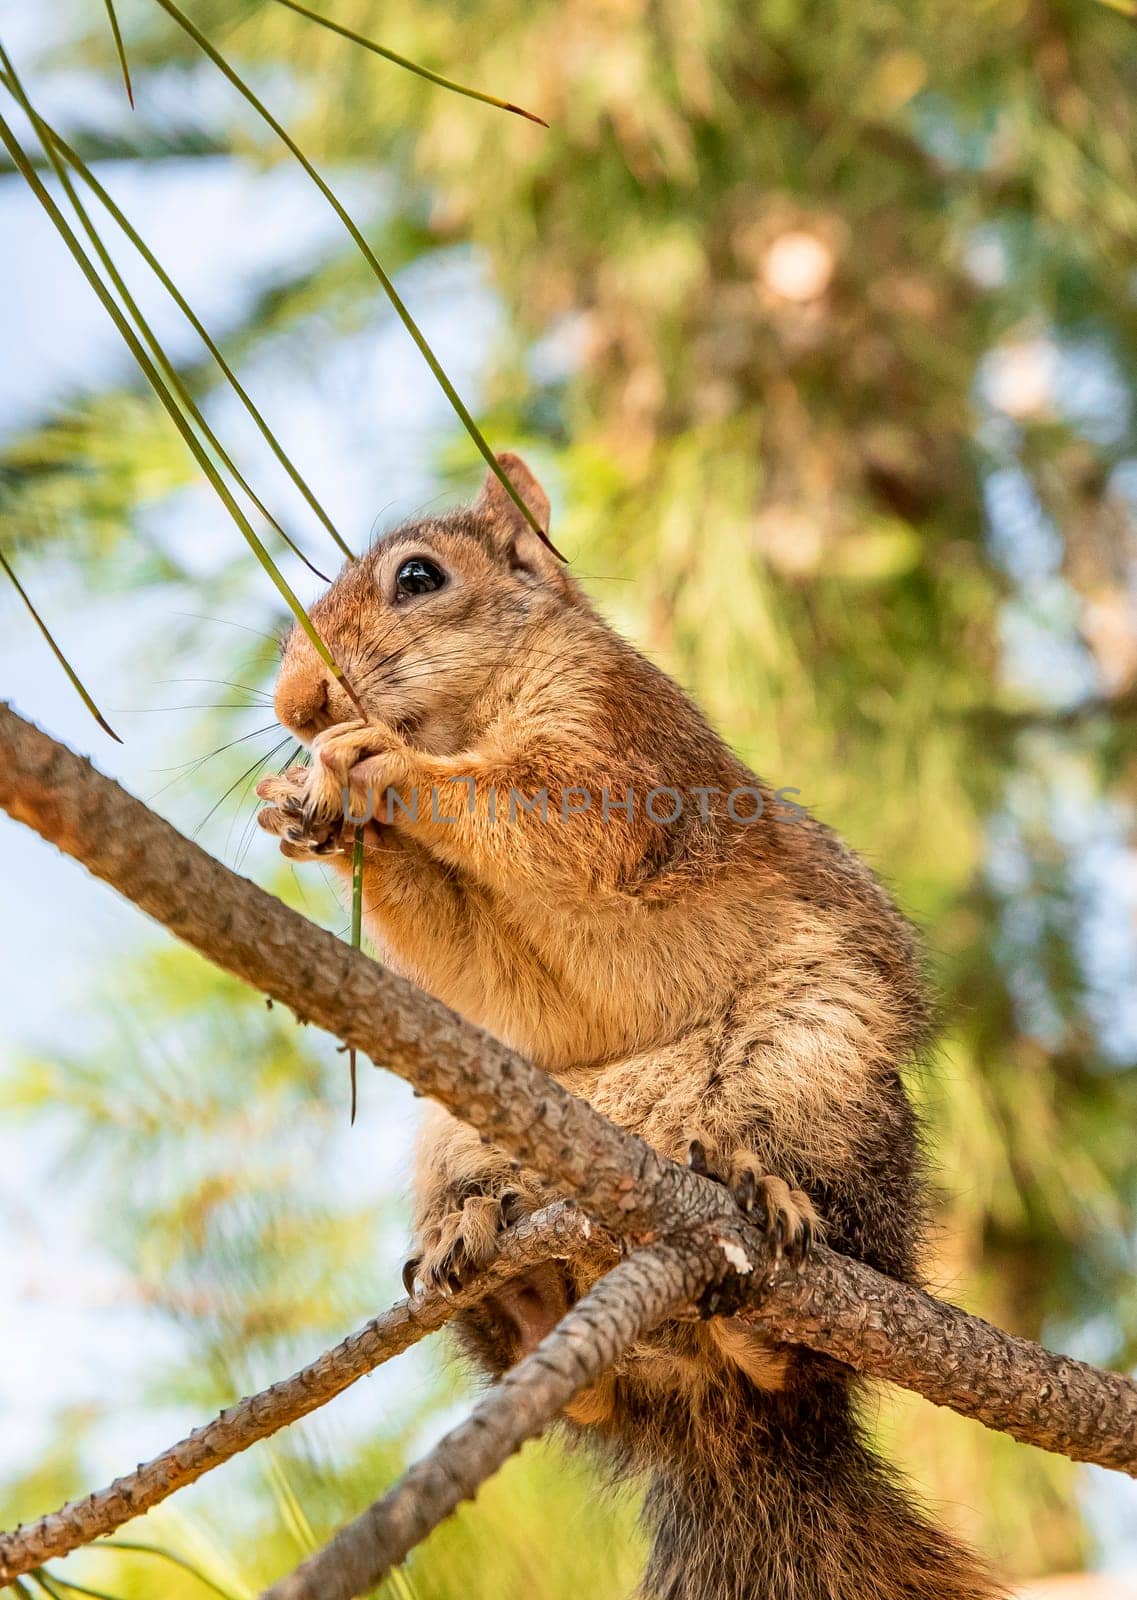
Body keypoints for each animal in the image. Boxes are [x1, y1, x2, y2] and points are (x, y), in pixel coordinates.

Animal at [260, 457, 1004, 1600]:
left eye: (420, 577)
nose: (297, 705)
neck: (468, 715)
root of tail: (725, 1426)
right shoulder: (486, 954)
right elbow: (464, 954)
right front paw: (314, 815)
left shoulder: (622, 738)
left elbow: (562, 813)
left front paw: (378, 763)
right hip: (457, 1139)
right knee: (596, 1395)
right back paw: (506, 1275)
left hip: (815, 1070)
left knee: (813, 1306)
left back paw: (764, 1217)